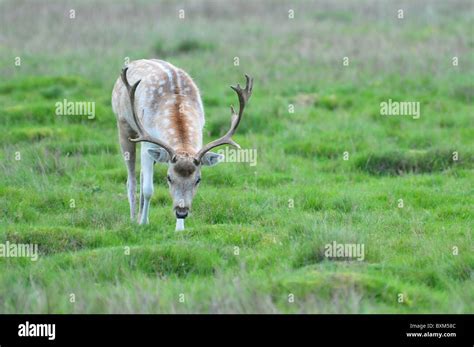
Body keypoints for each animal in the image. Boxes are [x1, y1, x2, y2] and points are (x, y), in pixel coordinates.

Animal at [111, 59, 252, 226]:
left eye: (198, 179)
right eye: (168, 178)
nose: (181, 212)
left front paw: (180, 229)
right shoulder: (147, 141)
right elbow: (148, 189)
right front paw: (143, 223)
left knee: (141, 174)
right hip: (123, 125)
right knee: (131, 179)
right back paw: (134, 219)